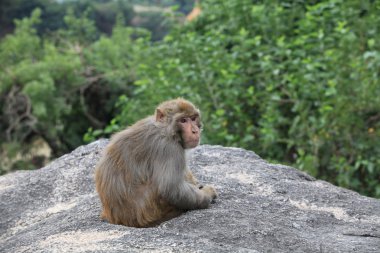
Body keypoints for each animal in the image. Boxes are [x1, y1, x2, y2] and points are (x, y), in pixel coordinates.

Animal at [95, 97, 217, 227]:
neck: (165, 129)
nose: (195, 131)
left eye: (193, 118)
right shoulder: (168, 147)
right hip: (149, 211)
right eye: (183, 120)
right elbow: (171, 188)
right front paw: (207, 194)